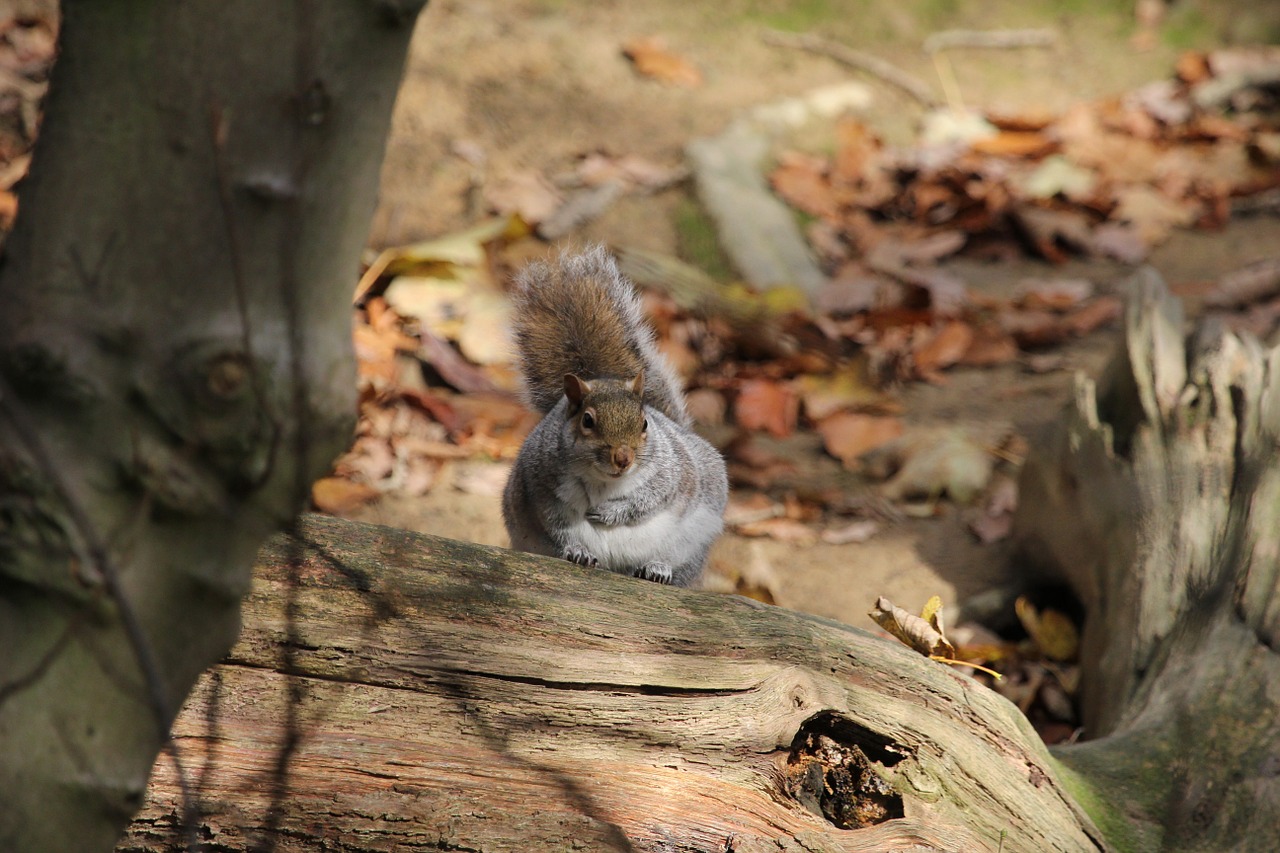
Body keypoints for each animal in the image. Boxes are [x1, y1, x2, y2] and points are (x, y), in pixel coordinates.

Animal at [506, 245, 737, 584]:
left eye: (644, 424)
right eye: (587, 421)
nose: (623, 458)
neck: (606, 482)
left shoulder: (672, 474)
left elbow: (650, 499)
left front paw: (610, 513)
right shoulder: (542, 490)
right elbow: (559, 528)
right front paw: (577, 551)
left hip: (695, 540)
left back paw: (658, 569)